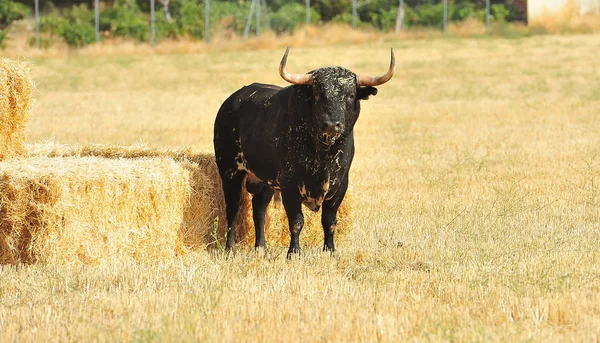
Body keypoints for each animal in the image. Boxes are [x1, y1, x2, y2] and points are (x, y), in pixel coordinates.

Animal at [213, 48, 396, 258]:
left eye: (350, 95)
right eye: (317, 94)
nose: (331, 125)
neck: (324, 156)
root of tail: (231, 101)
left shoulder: (340, 186)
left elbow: (329, 222)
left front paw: (329, 250)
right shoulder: (289, 185)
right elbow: (296, 221)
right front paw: (294, 252)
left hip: (265, 179)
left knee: (259, 209)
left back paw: (261, 247)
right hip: (229, 171)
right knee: (233, 208)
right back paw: (230, 248)